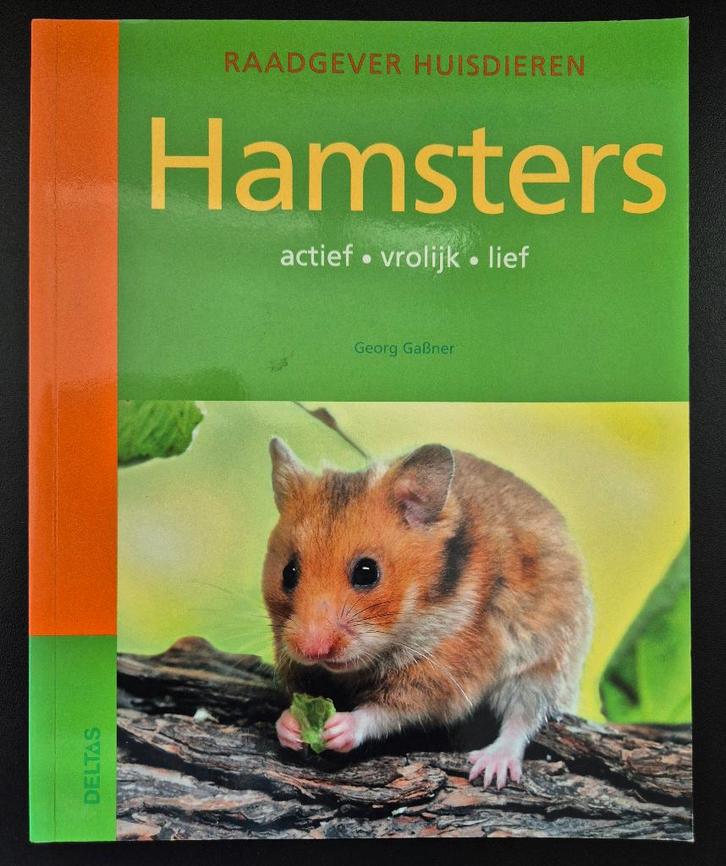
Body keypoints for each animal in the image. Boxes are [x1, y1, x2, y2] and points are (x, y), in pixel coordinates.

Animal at [262, 437, 593, 788]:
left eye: (367, 572)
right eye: (289, 572)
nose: (310, 649)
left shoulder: (441, 674)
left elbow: (387, 711)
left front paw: (339, 728)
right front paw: (290, 726)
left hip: (544, 663)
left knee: (524, 716)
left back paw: (491, 767)